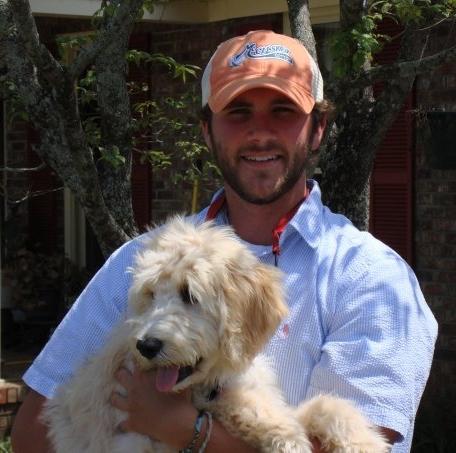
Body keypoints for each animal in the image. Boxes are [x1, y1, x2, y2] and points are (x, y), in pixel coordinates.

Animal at [43, 217, 389, 452]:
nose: (146, 345)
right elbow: (250, 407)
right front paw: (285, 435)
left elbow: (326, 404)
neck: (205, 385)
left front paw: (362, 442)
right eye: (150, 294)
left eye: (189, 295)